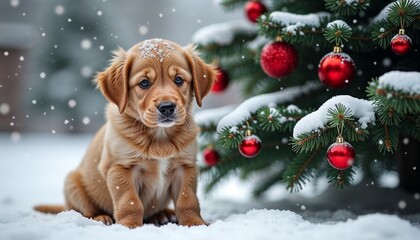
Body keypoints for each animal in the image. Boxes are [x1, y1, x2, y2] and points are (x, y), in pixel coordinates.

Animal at [34, 38, 215, 228]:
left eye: (179, 80)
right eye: (144, 83)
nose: (167, 107)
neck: (160, 135)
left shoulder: (185, 166)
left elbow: (187, 199)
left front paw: (194, 223)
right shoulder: (120, 168)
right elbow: (130, 201)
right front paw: (130, 225)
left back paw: (163, 214)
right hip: (73, 184)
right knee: (84, 211)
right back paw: (101, 217)